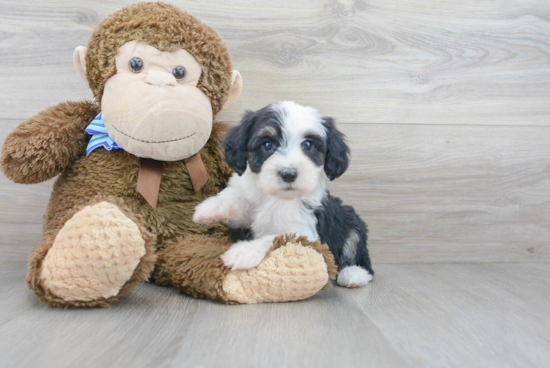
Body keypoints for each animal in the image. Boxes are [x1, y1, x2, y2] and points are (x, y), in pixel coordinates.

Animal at [194, 100, 376, 288]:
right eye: (267, 145)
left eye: (308, 145)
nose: (288, 174)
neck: (277, 196)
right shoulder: (243, 215)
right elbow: (237, 199)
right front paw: (210, 208)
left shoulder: (304, 231)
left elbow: (277, 237)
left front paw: (245, 250)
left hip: (352, 222)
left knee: (359, 253)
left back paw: (354, 274)